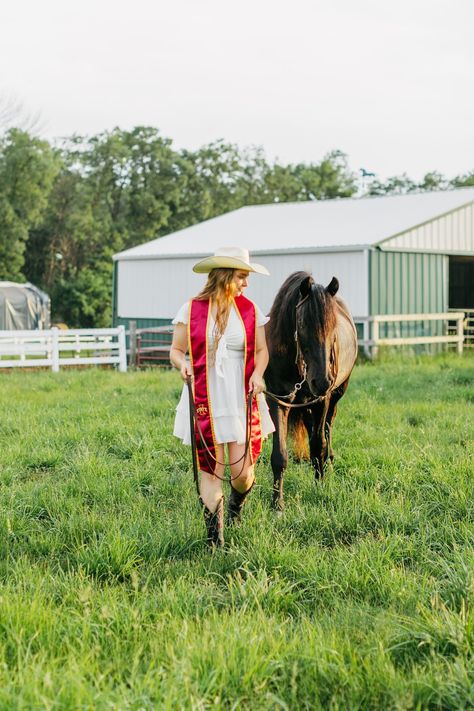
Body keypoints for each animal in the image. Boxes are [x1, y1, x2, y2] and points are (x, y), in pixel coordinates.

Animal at [264, 270, 358, 508]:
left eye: (333, 327)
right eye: (303, 324)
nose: (323, 381)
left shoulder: (321, 401)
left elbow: (318, 445)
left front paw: (320, 486)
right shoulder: (277, 400)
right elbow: (279, 455)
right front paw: (277, 504)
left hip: (334, 397)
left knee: (327, 428)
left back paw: (329, 464)